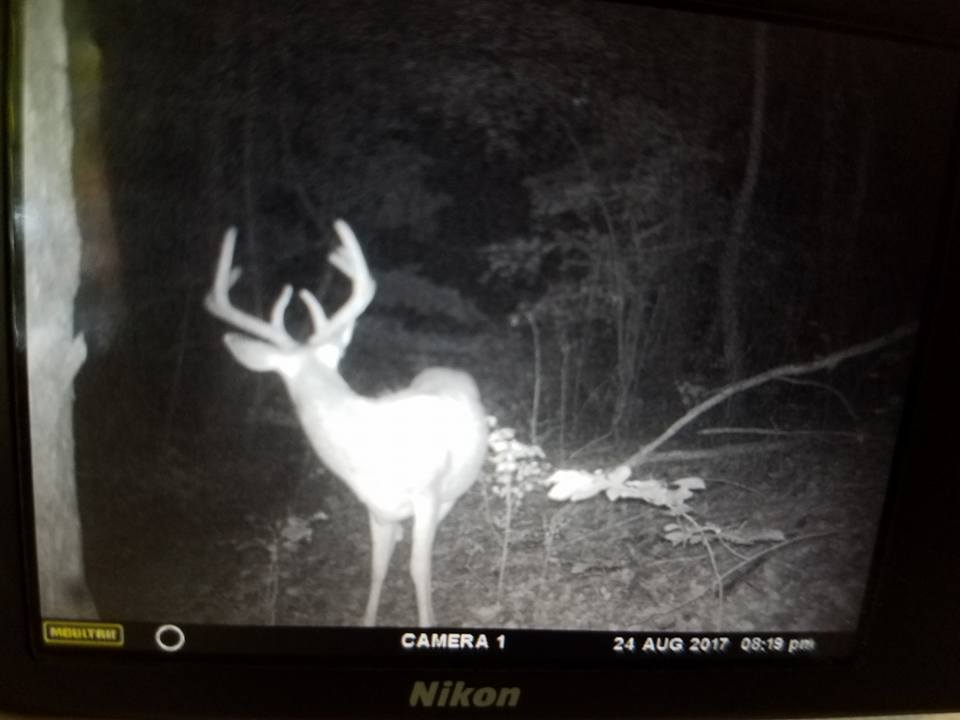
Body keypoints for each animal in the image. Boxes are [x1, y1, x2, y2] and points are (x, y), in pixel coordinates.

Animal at [204, 220, 487, 627]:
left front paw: (428, 621)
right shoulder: (375, 507)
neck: (366, 451)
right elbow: (377, 568)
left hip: (450, 490)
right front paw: (366, 619)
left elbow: (418, 569)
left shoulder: (427, 492)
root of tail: (449, 369)